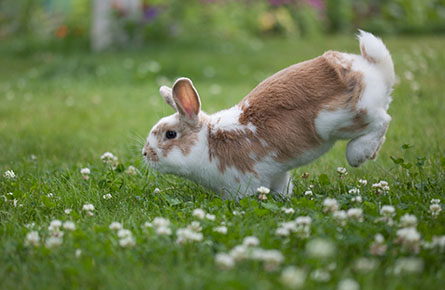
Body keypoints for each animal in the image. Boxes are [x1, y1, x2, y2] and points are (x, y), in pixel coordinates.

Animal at [141, 31, 392, 199]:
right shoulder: (277, 174)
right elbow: (282, 188)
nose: (145, 153)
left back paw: (358, 154)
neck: (208, 141)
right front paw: (284, 199)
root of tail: (372, 69)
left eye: (170, 134)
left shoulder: (243, 181)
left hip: (342, 119)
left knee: (382, 121)